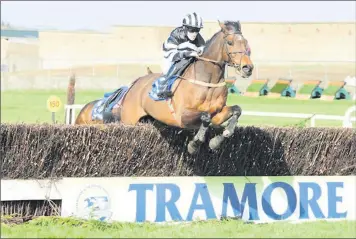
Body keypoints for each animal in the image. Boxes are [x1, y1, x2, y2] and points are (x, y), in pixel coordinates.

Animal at [74, 21, 253, 155]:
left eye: (246, 43)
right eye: (230, 42)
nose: (247, 68)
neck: (207, 80)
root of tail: (134, 84)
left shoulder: (218, 113)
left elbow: (236, 110)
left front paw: (217, 141)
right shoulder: (182, 116)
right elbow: (205, 117)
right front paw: (194, 144)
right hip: (129, 120)